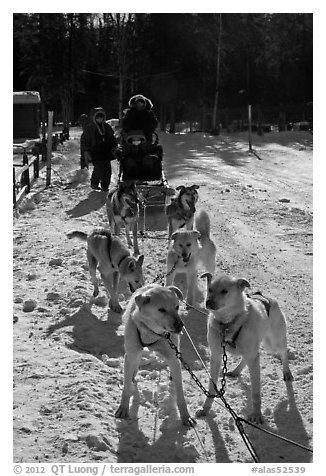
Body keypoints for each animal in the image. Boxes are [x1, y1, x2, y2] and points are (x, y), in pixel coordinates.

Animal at [116, 284, 195, 426]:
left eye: (177, 307)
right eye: (161, 309)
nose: (180, 325)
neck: (153, 333)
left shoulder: (172, 355)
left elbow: (180, 393)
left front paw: (185, 416)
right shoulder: (131, 353)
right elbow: (126, 387)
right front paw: (123, 407)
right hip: (134, 350)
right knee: (135, 361)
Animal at [197, 274, 294, 422]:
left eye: (224, 291)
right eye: (210, 289)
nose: (208, 302)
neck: (227, 325)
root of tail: (266, 297)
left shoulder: (253, 359)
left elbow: (256, 393)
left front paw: (257, 414)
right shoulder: (216, 356)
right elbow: (211, 387)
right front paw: (205, 408)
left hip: (273, 343)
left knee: (283, 353)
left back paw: (287, 372)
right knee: (245, 358)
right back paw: (236, 371)